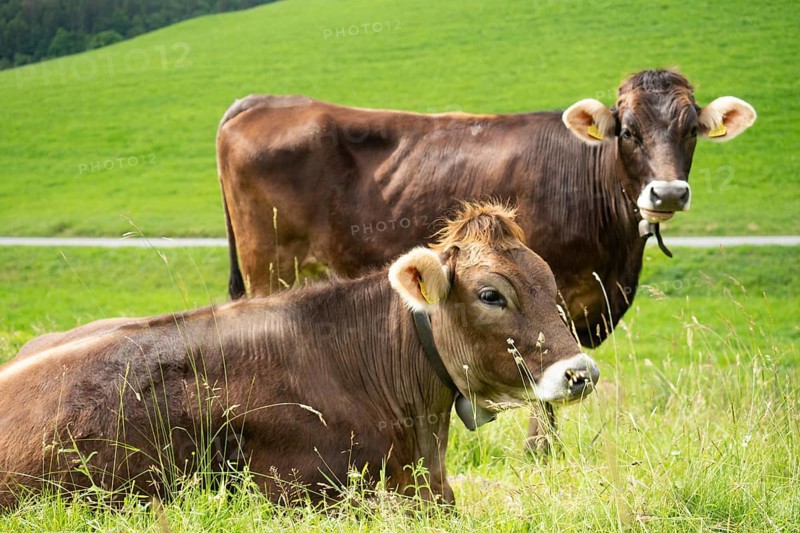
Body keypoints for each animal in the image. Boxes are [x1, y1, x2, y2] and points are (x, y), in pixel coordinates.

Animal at [215, 69, 755, 452]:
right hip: (269, 267)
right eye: (627, 130)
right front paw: (542, 452)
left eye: (690, 130)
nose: (667, 192)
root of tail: (268, 101)